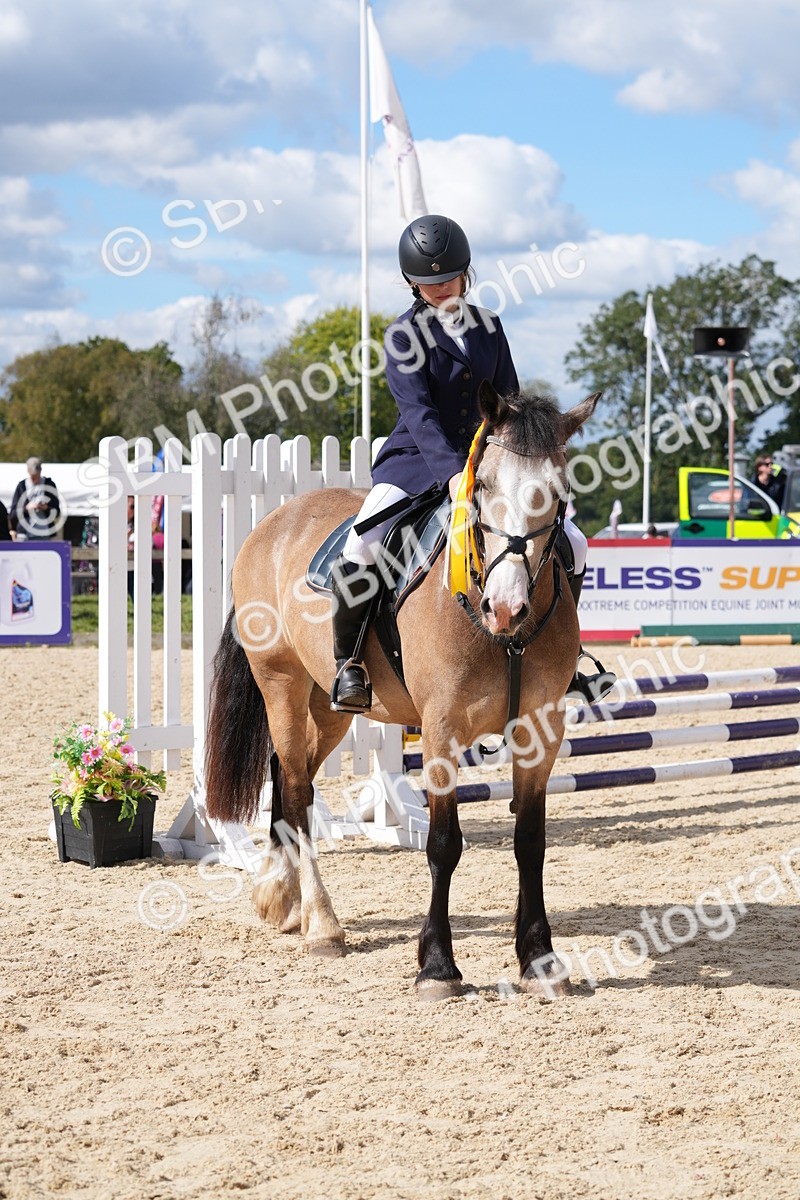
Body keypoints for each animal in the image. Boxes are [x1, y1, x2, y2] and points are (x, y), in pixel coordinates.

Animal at [205, 382, 600, 998]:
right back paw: (322, 923)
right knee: (295, 789)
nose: (506, 607)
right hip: (281, 683)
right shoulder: (439, 732)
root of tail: (271, 523)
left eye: (558, 492)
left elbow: (531, 842)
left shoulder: (541, 732)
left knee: (289, 777)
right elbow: (444, 844)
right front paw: (437, 966)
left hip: (329, 706)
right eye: (481, 485)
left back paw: (283, 897)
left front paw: (539, 959)